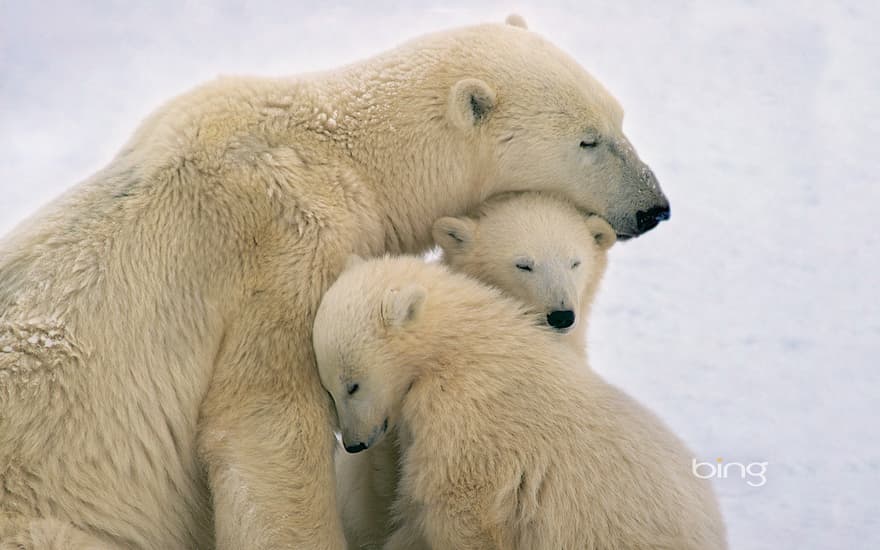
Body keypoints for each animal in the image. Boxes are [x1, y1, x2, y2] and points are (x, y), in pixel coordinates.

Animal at [0, 15, 668, 548]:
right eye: (588, 140)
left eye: (620, 119)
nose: (654, 207)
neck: (340, 149)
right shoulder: (288, 242)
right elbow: (264, 425)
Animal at [312, 258, 724, 550]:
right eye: (328, 389)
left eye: (352, 385)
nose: (354, 443)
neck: (458, 347)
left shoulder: (470, 418)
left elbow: (460, 508)